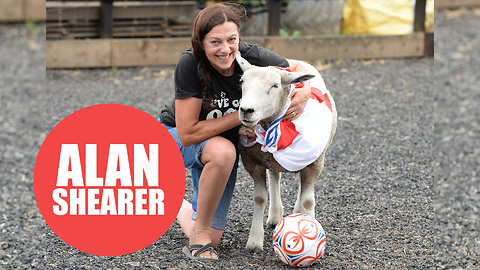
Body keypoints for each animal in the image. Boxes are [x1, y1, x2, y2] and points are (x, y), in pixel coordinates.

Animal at [236, 53, 338, 253]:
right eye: (242, 81)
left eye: (275, 86)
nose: (246, 110)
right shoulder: (252, 162)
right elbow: (259, 198)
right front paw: (254, 241)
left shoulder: (315, 164)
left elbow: (308, 201)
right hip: (270, 160)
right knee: (275, 178)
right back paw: (275, 216)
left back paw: (297, 212)